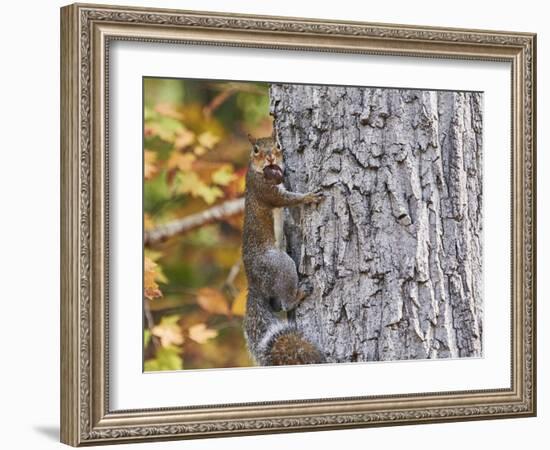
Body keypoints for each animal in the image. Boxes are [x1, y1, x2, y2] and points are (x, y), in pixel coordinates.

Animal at [243, 133, 328, 366]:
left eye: (278, 145)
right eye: (255, 149)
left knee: (277, 305)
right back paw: (299, 293)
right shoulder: (265, 191)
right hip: (280, 265)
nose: (271, 157)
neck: (258, 171)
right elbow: (287, 199)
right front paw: (309, 196)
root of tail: (255, 283)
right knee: (286, 303)